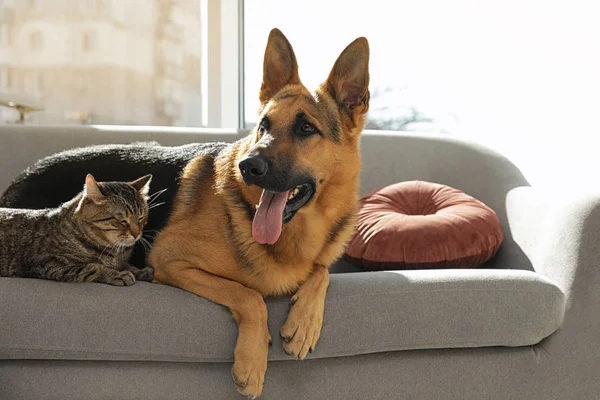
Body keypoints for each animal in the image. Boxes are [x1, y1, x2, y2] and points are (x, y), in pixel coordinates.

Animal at [1, 173, 155, 286]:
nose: (137, 234)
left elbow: (126, 265)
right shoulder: (51, 263)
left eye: (141, 218)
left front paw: (140, 271)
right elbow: (93, 267)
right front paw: (117, 274)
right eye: (122, 220)